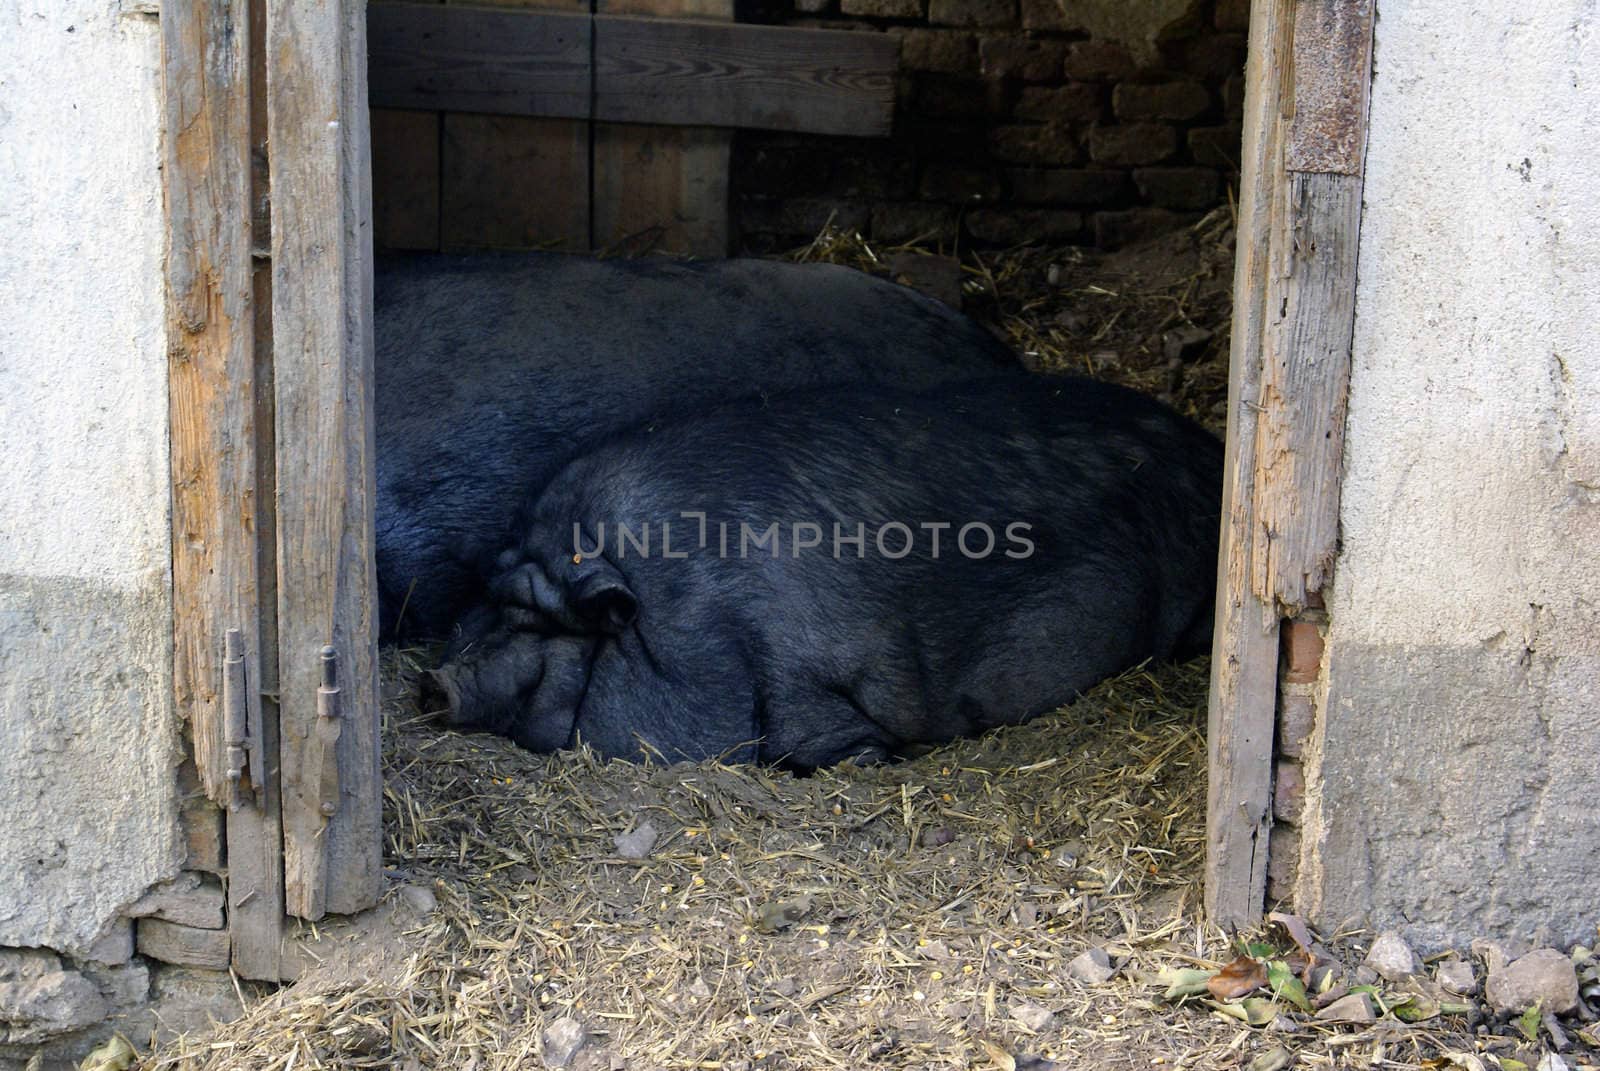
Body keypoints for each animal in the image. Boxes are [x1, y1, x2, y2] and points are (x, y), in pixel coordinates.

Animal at [428, 376, 1222, 768]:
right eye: (489, 600)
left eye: (542, 621)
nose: (433, 679)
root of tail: (1208, 451)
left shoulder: (801, 678)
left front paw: (883, 758)